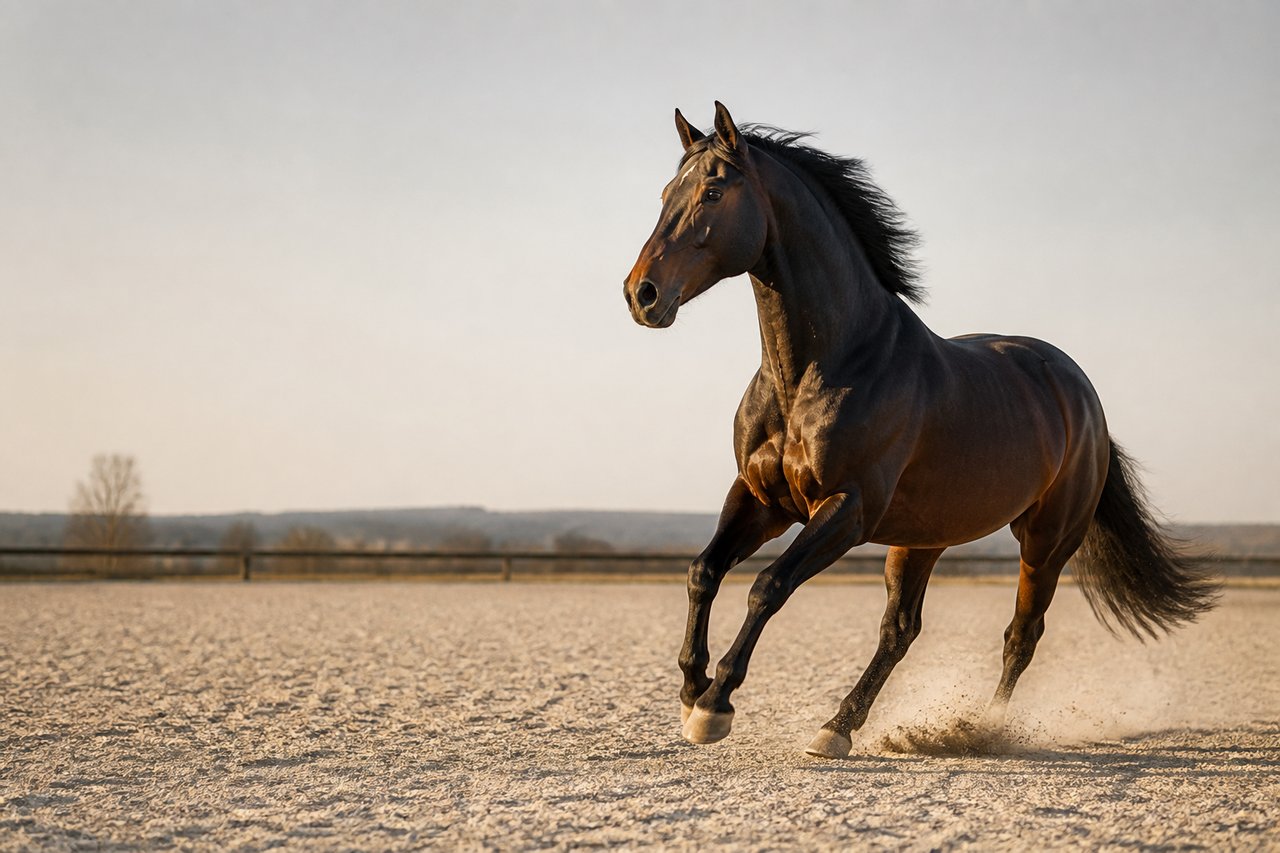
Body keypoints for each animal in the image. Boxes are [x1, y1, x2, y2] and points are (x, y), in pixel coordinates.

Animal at [622, 102, 1218, 759]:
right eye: (665, 193)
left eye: (712, 191)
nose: (641, 294)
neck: (824, 368)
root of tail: (1082, 395)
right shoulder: (760, 499)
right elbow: (703, 572)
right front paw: (691, 690)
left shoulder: (846, 509)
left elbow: (769, 586)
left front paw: (715, 705)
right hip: (922, 539)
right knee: (901, 631)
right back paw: (838, 727)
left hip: (1045, 542)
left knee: (1021, 634)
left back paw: (983, 727)